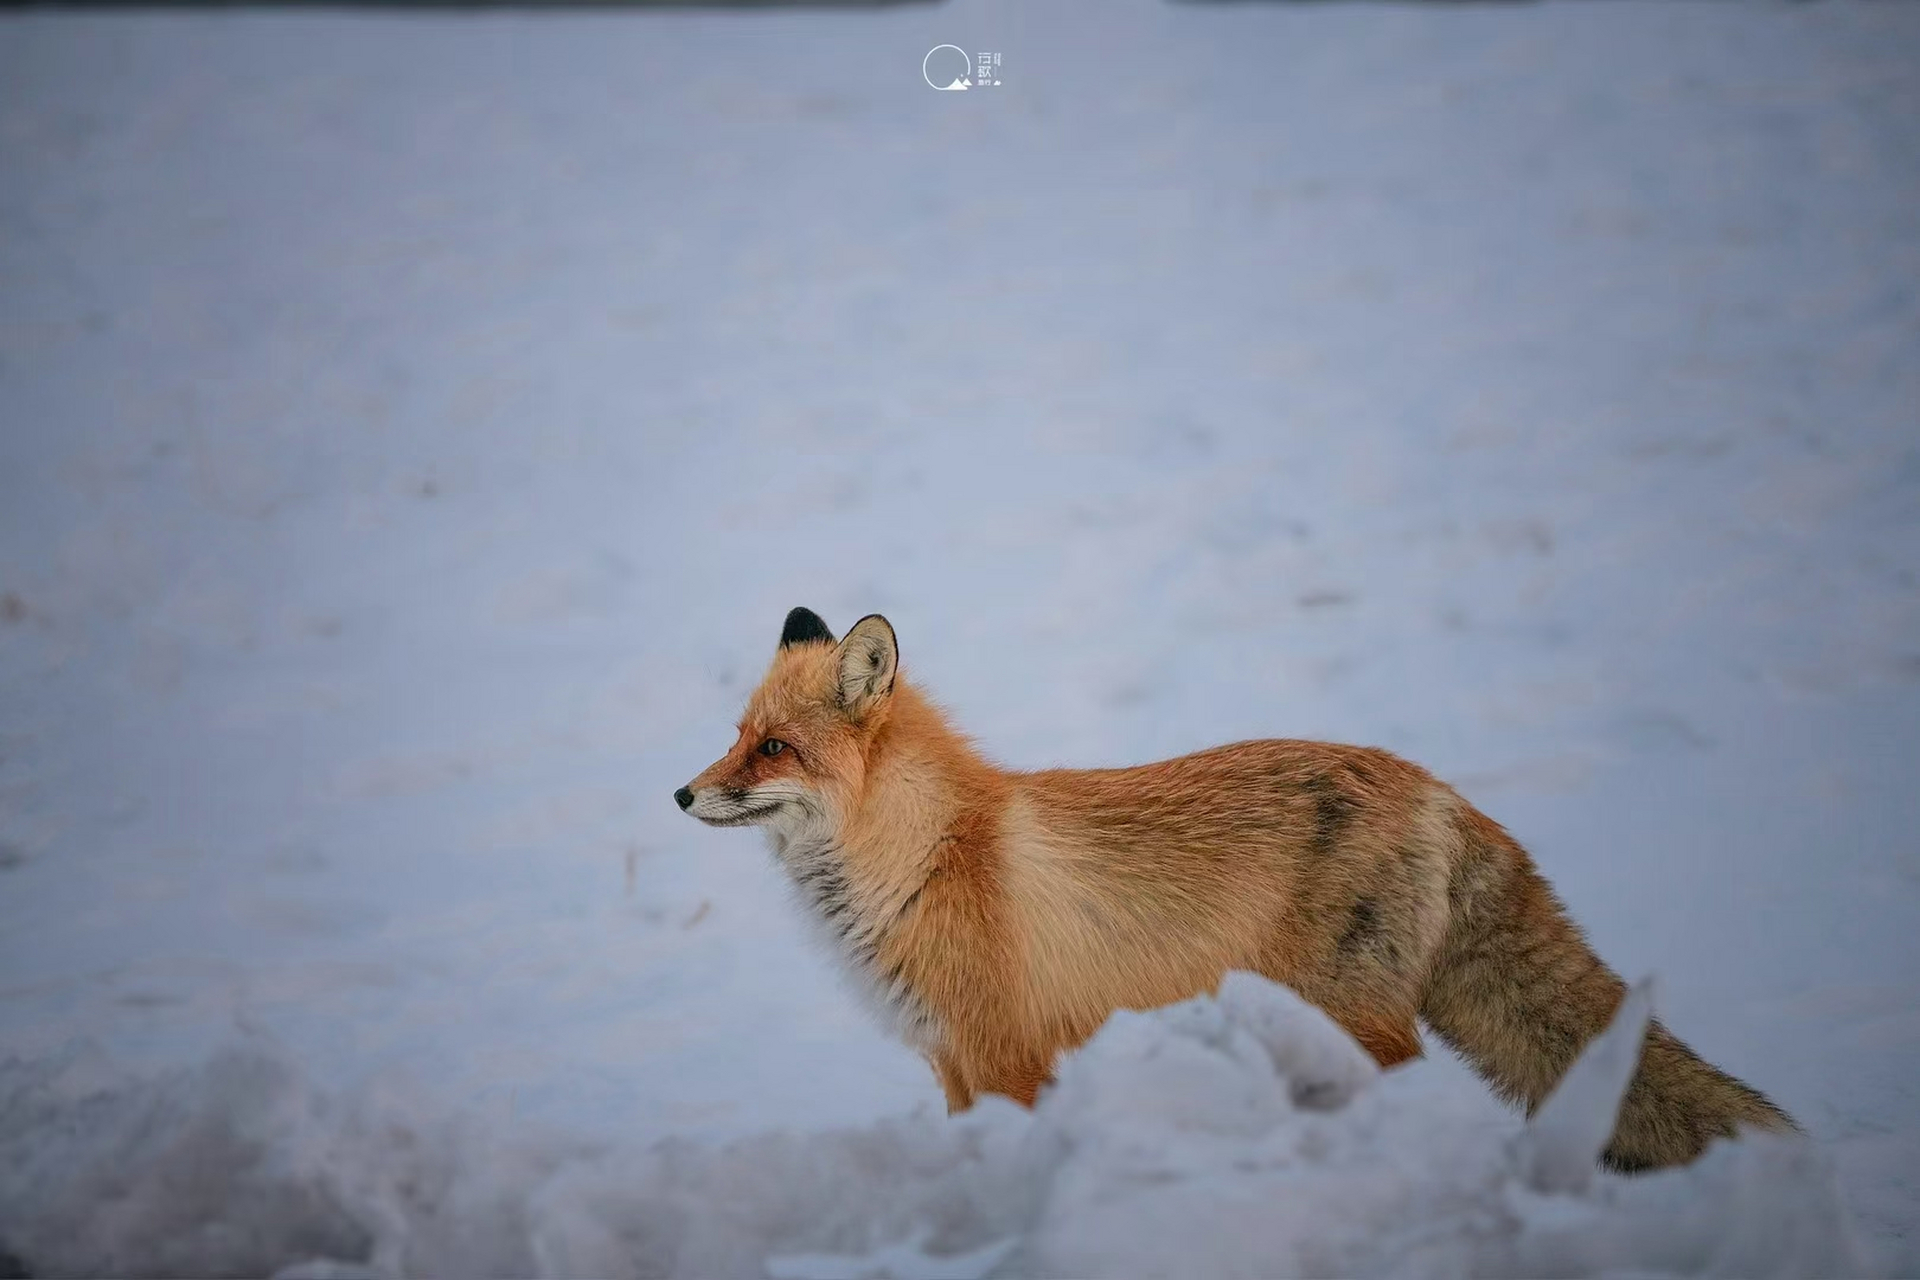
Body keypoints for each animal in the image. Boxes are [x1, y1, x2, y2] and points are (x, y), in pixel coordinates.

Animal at [679, 610, 1797, 1174]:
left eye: (774, 748)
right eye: (737, 734)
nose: (683, 792)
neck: (925, 855)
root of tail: (1437, 787)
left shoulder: (1004, 1057)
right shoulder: (954, 1062)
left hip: (1355, 1020)